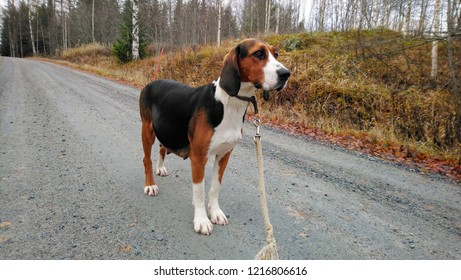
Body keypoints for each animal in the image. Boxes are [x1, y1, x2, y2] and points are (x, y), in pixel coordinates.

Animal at [138, 38, 290, 234]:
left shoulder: (224, 155)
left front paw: (215, 212)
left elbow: (215, 187)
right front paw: (202, 220)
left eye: (276, 54)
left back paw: (161, 168)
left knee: (163, 147)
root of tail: (152, 82)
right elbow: (200, 191)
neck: (230, 104)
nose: (286, 74)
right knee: (146, 159)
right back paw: (150, 184)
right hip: (147, 131)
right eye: (258, 54)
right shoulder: (198, 157)